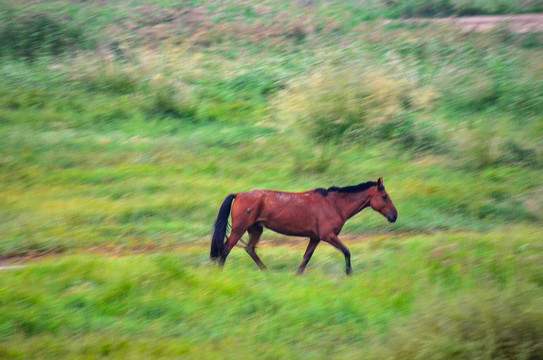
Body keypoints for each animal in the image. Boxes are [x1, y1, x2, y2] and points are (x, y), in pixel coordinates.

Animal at [210, 178, 398, 276]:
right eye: (384, 196)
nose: (394, 216)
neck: (334, 204)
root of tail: (239, 194)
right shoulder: (328, 236)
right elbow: (346, 251)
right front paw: (349, 272)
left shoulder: (315, 238)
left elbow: (306, 257)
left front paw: (297, 275)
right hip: (239, 228)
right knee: (226, 249)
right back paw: (220, 273)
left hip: (256, 228)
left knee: (249, 248)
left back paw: (266, 271)